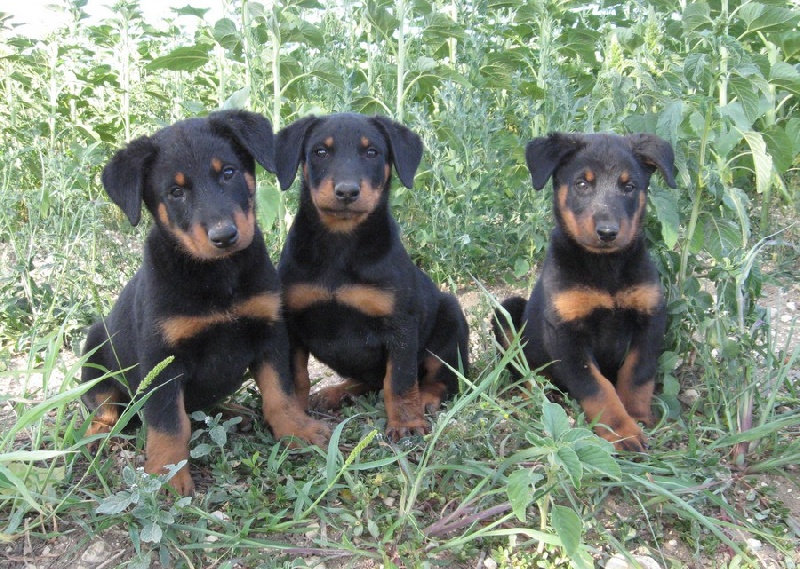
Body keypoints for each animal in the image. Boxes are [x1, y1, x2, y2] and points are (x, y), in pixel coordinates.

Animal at [79, 110, 330, 492]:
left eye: (227, 172)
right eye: (175, 192)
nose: (224, 236)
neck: (217, 276)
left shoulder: (270, 333)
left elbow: (280, 392)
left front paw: (296, 429)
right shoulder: (162, 361)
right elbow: (168, 422)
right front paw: (167, 472)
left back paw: (234, 412)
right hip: (95, 352)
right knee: (104, 407)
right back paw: (98, 438)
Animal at [274, 112, 468, 440]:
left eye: (372, 152)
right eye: (320, 152)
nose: (347, 192)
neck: (340, 244)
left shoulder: (401, 327)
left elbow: (400, 381)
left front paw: (405, 423)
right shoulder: (291, 321)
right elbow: (295, 377)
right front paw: (297, 421)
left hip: (451, 319)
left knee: (446, 379)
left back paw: (425, 398)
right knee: (369, 380)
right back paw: (335, 392)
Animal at [494, 131, 676, 450]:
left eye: (629, 187)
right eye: (582, 184)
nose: (607, 232)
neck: (605, 267)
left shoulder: (650, 318)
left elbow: (637, 374)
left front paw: (638, 417)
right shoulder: (566, 334)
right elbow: (597, 388)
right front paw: (622, 431)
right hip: (508, 311)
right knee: (522, 370)